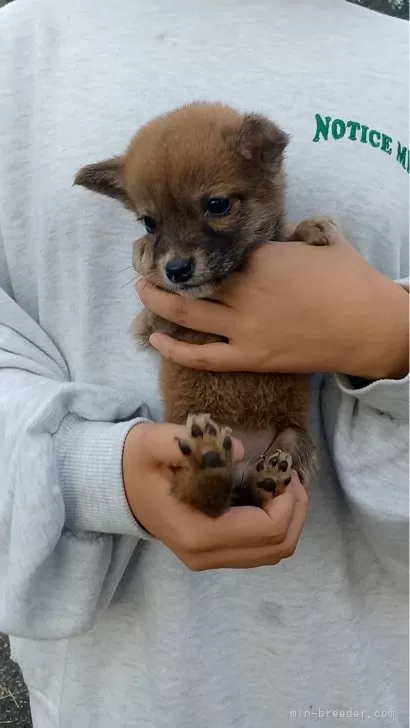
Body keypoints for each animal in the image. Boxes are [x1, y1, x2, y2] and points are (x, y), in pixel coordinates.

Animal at [74, 101, 336, 516]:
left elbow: (285, 236)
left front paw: (309, 229)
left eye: (217, 205)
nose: (177, 269)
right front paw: (145, 255)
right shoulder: (154, 328)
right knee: (205, 500)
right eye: (149, 223)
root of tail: (239, 462)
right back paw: (210, 463)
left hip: (292, 442)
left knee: (247, 495)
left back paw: (261, 477)